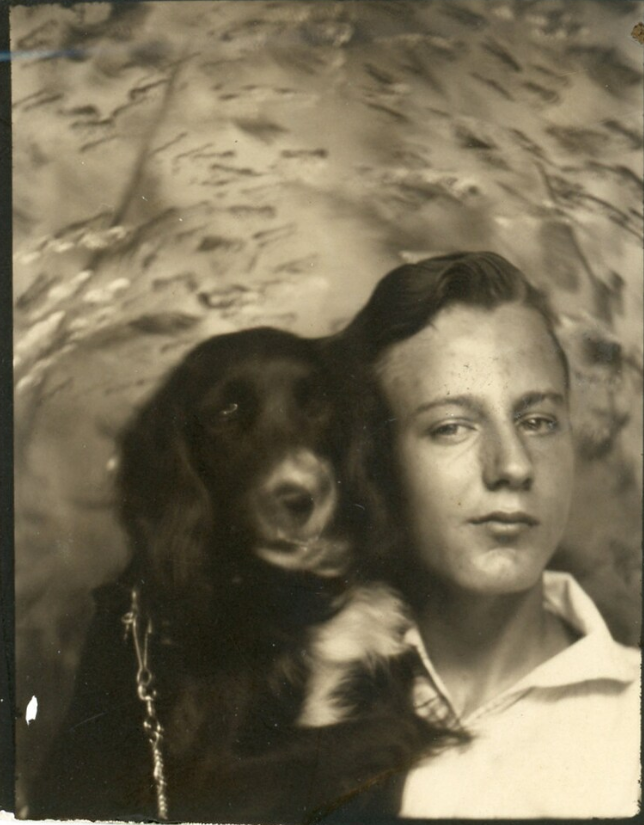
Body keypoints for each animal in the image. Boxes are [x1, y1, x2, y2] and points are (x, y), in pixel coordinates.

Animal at [30, 330, 460, 824]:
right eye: (225, 413)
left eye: (318, 404)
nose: (300, 499)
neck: (287, 593)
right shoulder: (196, 782)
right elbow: (379, 732)